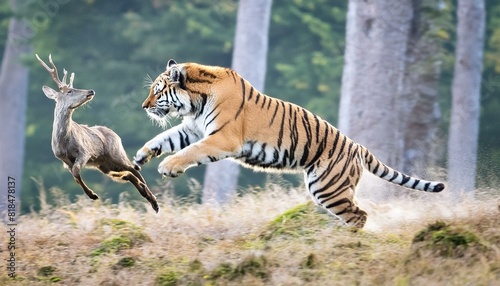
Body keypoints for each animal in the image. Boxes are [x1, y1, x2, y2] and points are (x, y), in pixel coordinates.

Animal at [36, 54, 158, 212]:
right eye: (69, 91)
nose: (90, 91)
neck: (64, 142)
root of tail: (116, 135)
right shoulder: (65, 161)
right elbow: (75, 176)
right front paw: (92, 195)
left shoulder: (84, 152)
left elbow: (76, 171)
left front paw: (93, 195)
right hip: (104, 165)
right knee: (127, 175)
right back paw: (147, 195)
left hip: (116, 154)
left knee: (134, 169)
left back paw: (152, 199)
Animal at [134, 58, 446, 228]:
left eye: (158, 91)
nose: (144, 106)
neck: (196, 102)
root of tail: (357, 146)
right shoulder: (194, 129)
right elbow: (164, 139)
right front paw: (140, 156)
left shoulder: (221, 138)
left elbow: (190, 152)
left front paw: (168, 166)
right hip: (328, 189)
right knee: (356, 213)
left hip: (327, 187)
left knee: (360, 215)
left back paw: (343, 241)